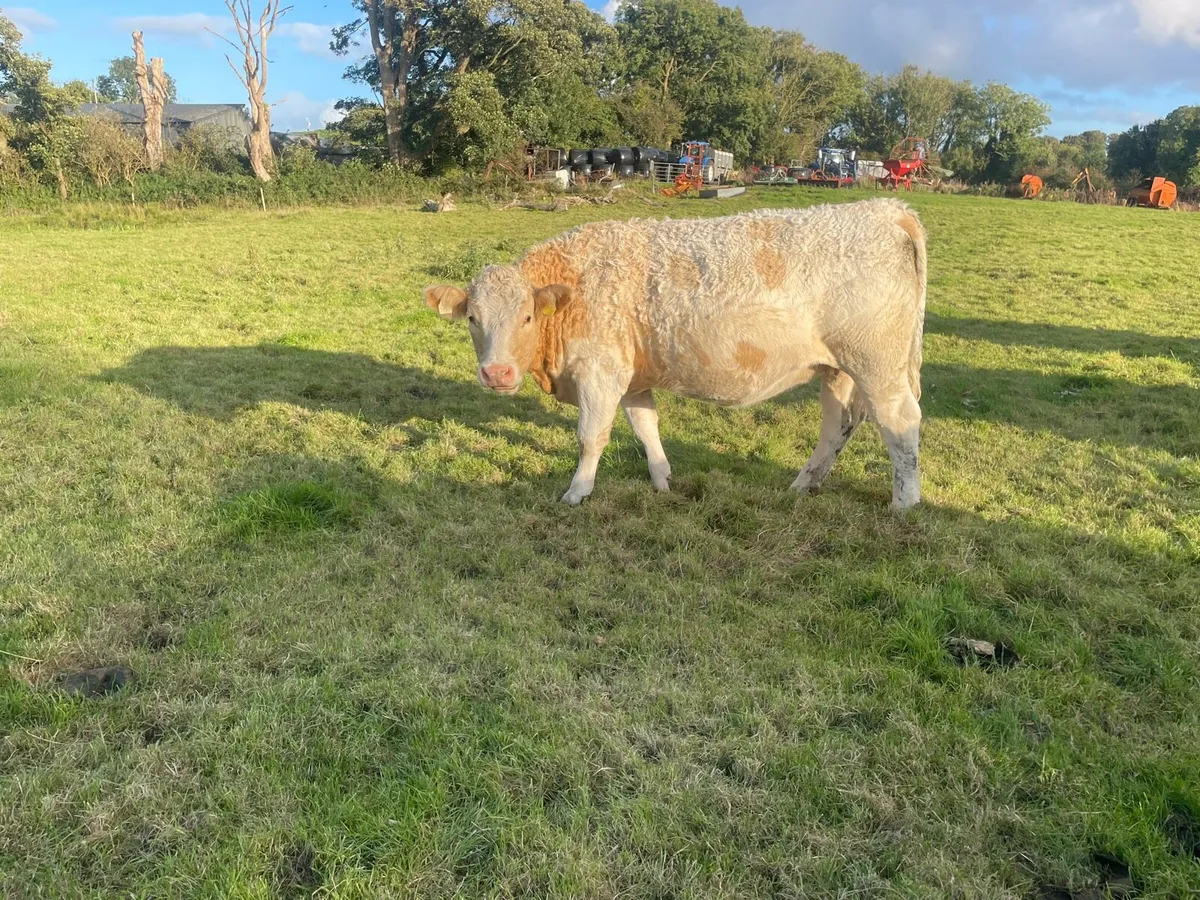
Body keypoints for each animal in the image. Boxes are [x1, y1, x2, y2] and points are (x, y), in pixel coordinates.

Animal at [422, 198, 927, 510]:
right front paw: (663, 481)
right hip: (838, 369)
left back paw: (904, 503)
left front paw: (578, 491)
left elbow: (591, 437)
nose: (497, 374)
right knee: (837, 424)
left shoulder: (601, 372)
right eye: (473, 319)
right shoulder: (632, 377)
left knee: (899, 422)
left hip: (877, 364)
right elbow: (646, 429)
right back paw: (803, 485)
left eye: (526, 317)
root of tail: (888, 210)